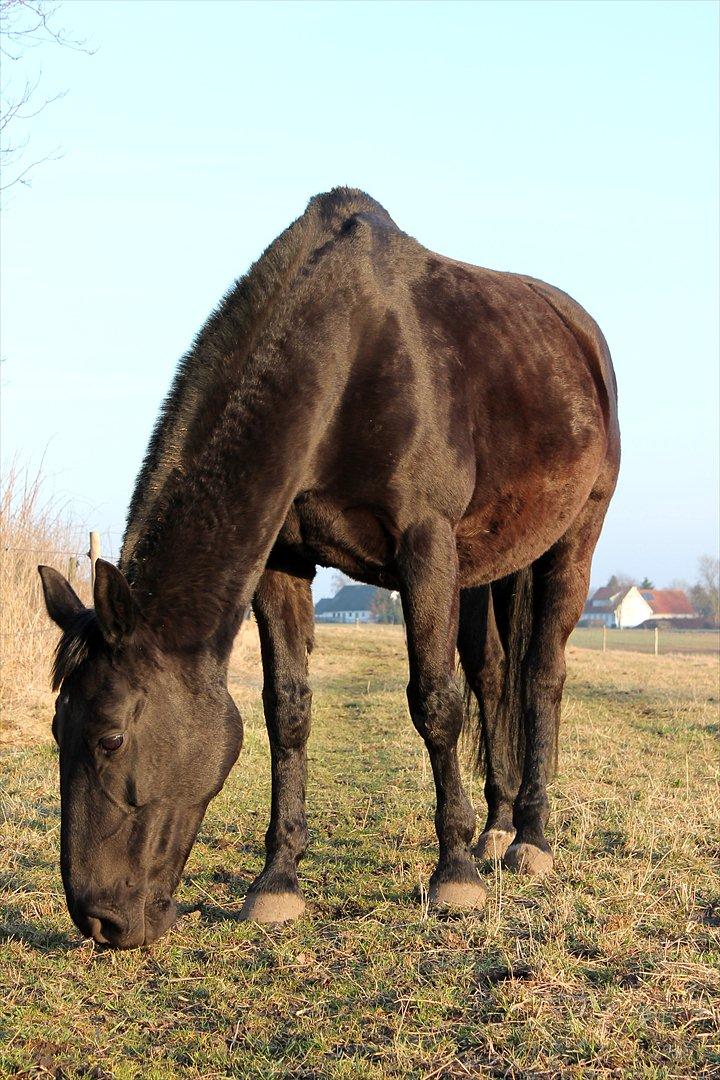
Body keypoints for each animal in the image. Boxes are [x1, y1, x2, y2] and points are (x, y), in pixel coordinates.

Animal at [38, 190, 621, 950]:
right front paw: (277, 881)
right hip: (484, 568)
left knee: (541, 676)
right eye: (57, 731)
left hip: (572, 540)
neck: (345, 360)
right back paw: (496, 828)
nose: (98, 920)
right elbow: (287, 709)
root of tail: (581, 335)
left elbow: (435, 703)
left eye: (110, 737)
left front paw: (455, 875)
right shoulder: (284, 563)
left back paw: (530, 838)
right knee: (494, 675)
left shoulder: (425, 547)